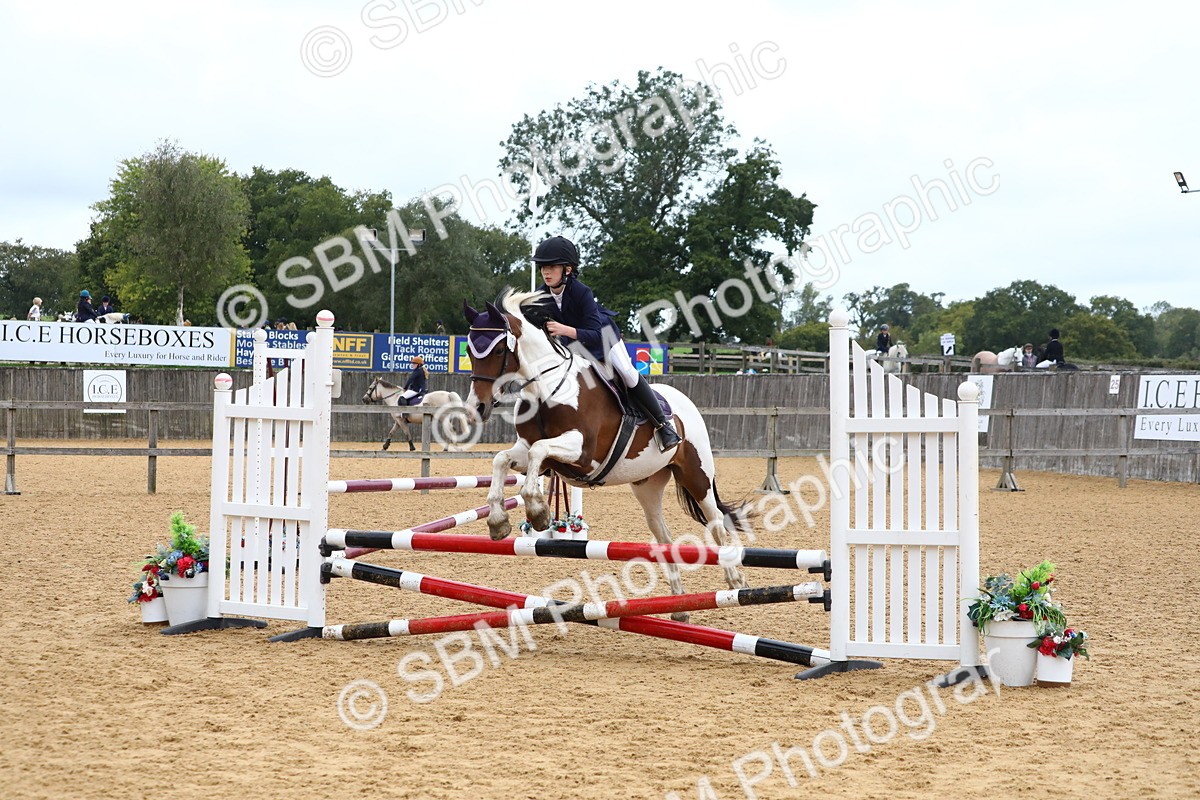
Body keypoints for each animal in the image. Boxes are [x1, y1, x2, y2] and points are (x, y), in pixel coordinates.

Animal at [463, 289, 751, 620]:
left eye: (498, 351)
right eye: (470, 351)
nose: (477, 408)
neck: (547, 389)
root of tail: (686, 403)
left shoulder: (582, 451)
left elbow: (539, 450)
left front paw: (537, 511)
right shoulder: (531, 452)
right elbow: (503, 459)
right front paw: (498, 521)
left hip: (697, 475)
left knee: (716, 524)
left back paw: (735, 580)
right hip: (648, 485)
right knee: (664, 536)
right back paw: (679, 605)